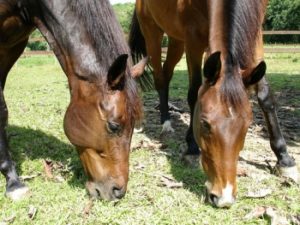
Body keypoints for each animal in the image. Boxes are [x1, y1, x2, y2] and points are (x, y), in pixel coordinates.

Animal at [129, 0, 298, 207]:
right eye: (204, 123)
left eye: (247, 125)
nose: (223, 197)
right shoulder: (193, 37)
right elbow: (194, 92)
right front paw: (192, 148)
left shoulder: (256, 31)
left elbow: (265, 96)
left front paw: (284, 158)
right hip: (153, 32)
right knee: (160, 78)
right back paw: (166, 123)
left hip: (176, 40)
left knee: (167, 72)